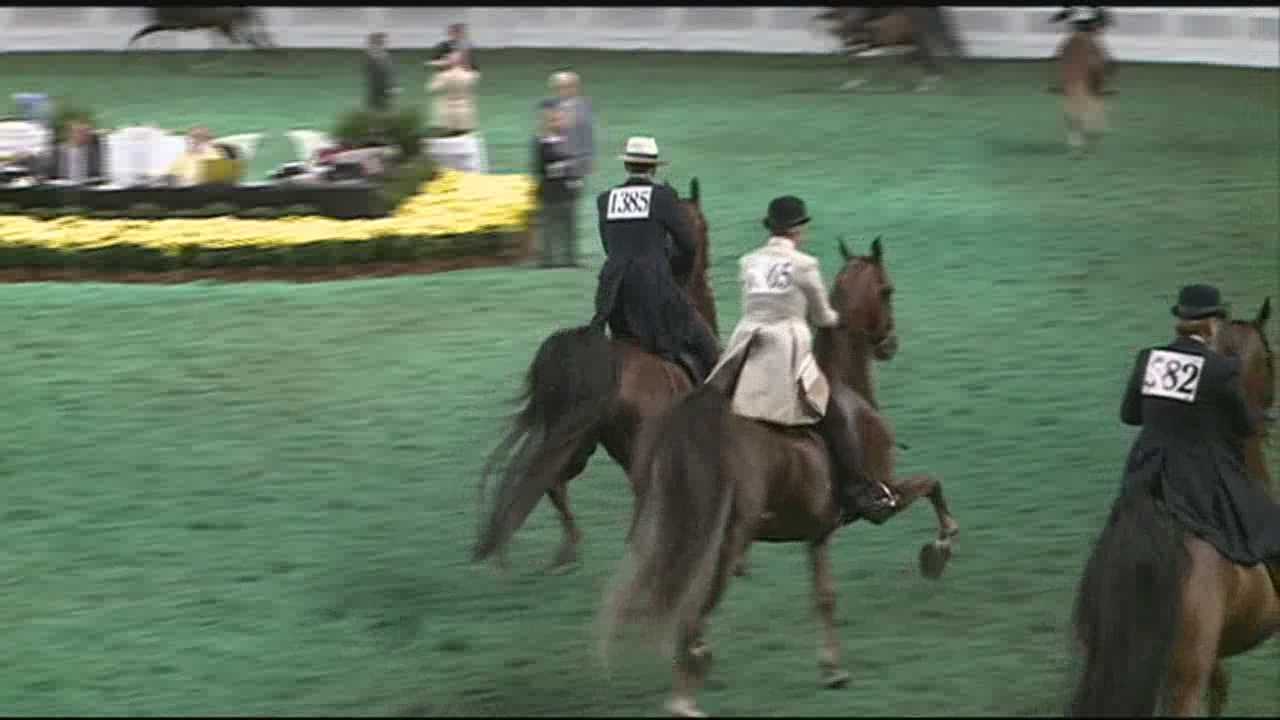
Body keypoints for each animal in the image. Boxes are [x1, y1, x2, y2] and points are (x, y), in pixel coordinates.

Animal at [476, 178, 721, 571]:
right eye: (704, 227)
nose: (707, 276)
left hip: (578, 440)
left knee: (553, 482)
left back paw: (569, 550)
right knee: (633, 502)